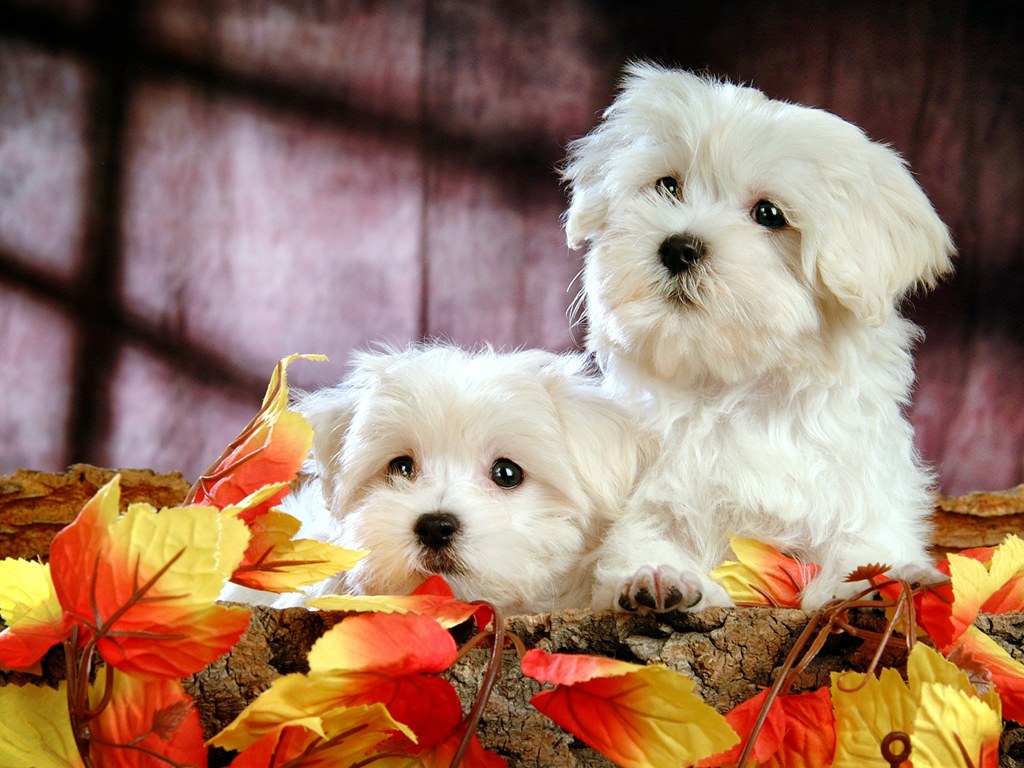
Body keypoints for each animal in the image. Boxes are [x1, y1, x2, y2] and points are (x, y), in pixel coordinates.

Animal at [565, 63, 954, 618]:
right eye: (667, 185)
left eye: (770, 214)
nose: (678, 247)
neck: (737, 391)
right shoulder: (644, 496)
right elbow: (641, 537)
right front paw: (660, 577)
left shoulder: (860, 492)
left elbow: (862, 547)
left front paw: (879, 583)